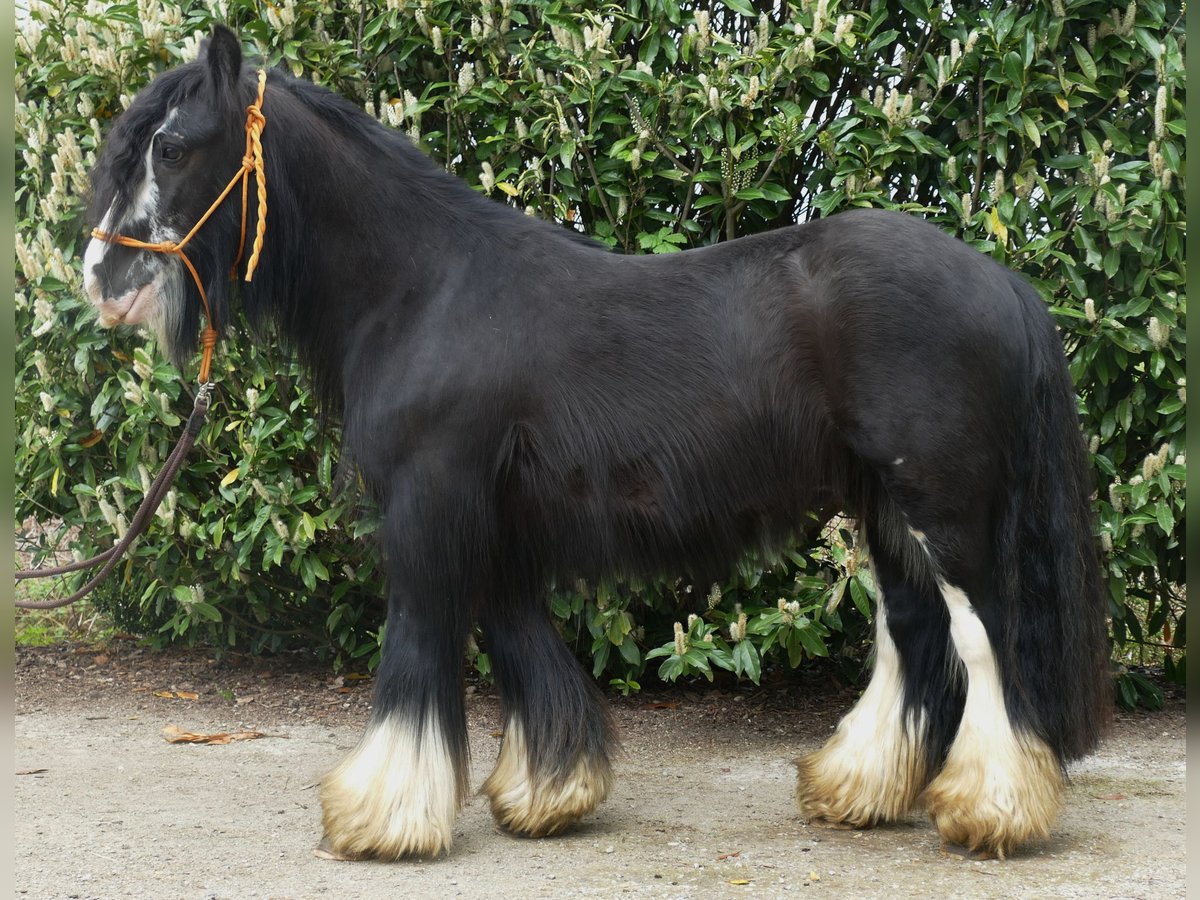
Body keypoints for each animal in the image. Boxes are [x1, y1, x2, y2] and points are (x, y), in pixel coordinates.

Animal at [84, 26, 1108, 859]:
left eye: (171, 145)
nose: (100, 278)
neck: (423, 289)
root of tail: (1003, 283)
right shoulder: (496, 521)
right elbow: (521, 645)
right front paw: (548, 794)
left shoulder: (429, 503)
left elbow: (419, 644)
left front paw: (379, 816)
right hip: (885, 508)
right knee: (916, 634)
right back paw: (857, 790)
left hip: (943, 508)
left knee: (985, 640)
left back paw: (990, 810)